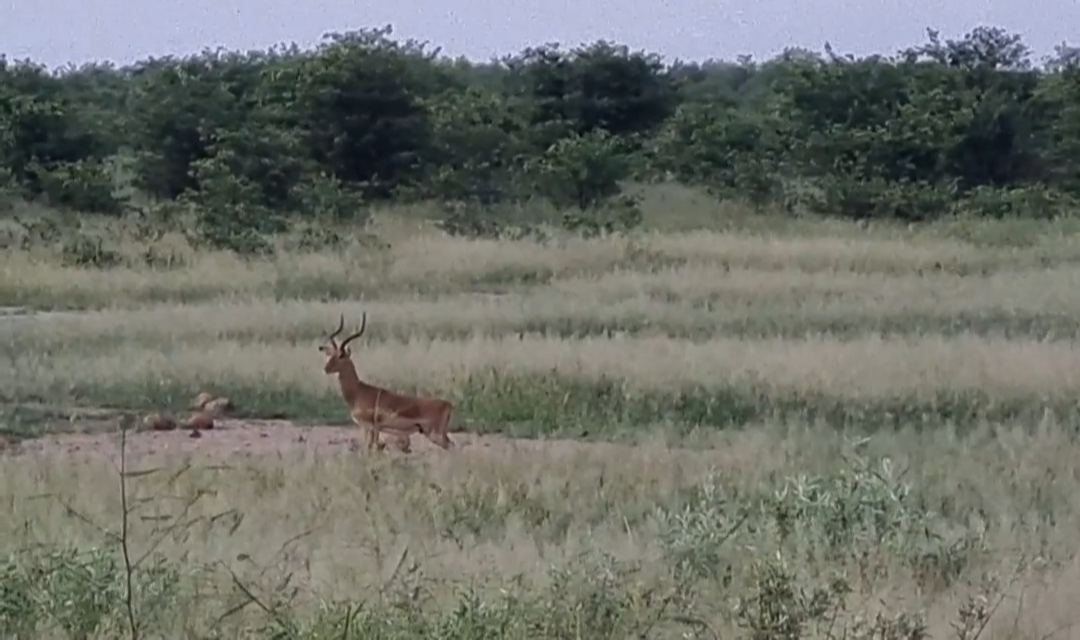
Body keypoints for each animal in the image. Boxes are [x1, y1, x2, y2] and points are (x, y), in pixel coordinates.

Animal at [319, 312, 455, 453]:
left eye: (341, 355)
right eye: (331, 354)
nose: (326, 368)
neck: (358, 391)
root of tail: (448, 404)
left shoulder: (369, 427)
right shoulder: (374, 429)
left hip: (435, 434)